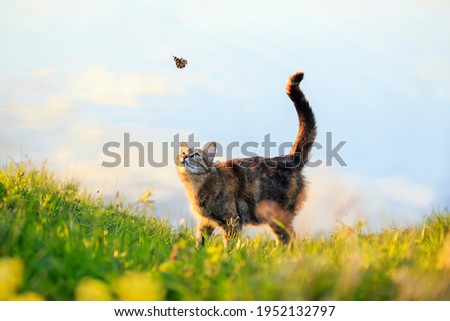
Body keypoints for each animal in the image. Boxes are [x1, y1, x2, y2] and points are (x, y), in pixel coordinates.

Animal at [176, 71, 316, 246]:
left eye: (195, 154)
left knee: (289, 238)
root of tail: (289, 158)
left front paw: (227, 253)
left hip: (278, 216)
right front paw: (195, 251)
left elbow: (229, 245)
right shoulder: (205, 223)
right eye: (182, 153)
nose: (184, 157)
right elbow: (200, 242)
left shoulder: (232, 221)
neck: (196, 186)